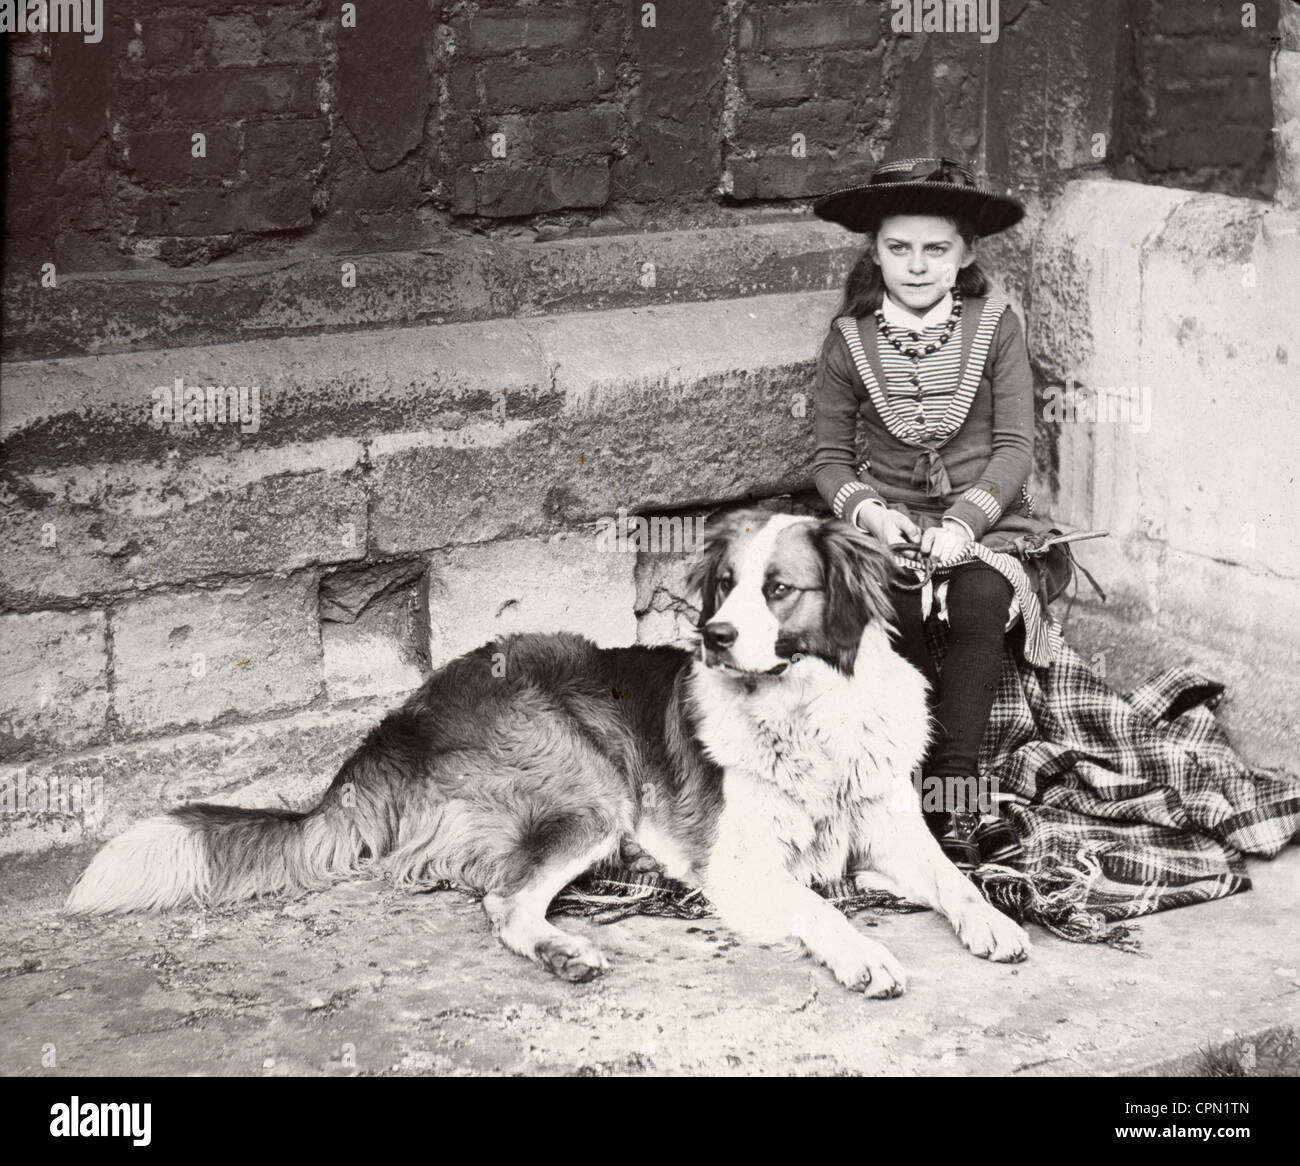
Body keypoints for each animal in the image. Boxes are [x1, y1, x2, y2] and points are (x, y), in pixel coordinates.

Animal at [68, 514, 1024, 998]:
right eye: (723, 586)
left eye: (778, 589)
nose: (713, 638)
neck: (805, 710)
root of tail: (392, 726)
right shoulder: (742, 868)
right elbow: (818, 907)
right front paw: (865, 953)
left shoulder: (884, 829)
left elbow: (951, 878)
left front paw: (994, 920)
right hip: (594, 790)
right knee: (503, 901)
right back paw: (569, 951)